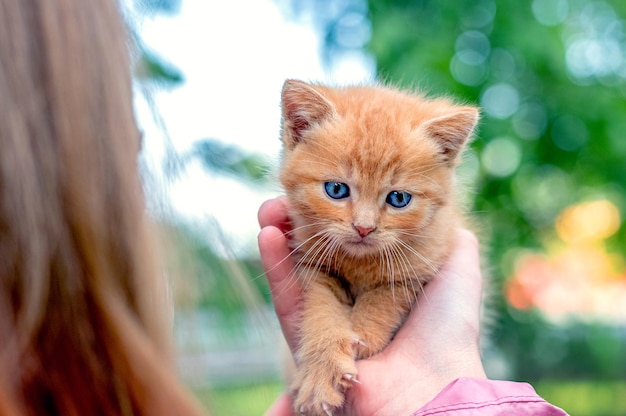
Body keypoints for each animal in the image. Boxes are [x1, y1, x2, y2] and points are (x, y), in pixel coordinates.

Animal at [278, 79, 478, 414]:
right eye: (336, 189)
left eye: (398, 198)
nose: (364, 227)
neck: (360, 260)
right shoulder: (312, 264)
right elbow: (321, 312)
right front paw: (320, 374)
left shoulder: (419, 266)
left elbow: (383, 300)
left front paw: (362, 338)